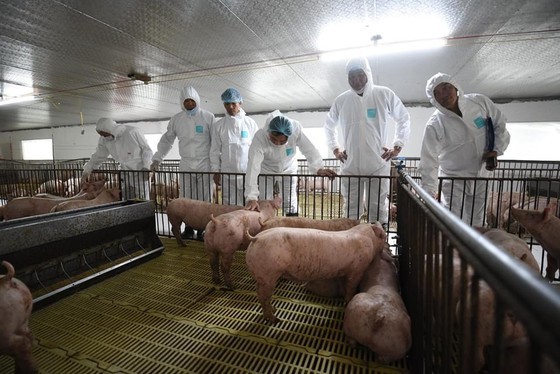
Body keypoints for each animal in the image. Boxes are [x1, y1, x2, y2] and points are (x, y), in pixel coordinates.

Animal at [247, 224, 388, 322]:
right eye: (384, 236)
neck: (369, 238)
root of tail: (256, 238)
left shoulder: (344, 271)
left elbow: (344, 285)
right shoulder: (357, 270)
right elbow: (351, 287)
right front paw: (348, 301)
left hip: (262, 276)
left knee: (261, 294)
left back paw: (274, 310)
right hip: (269, 274)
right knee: (264, 297)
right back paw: (275, 319)